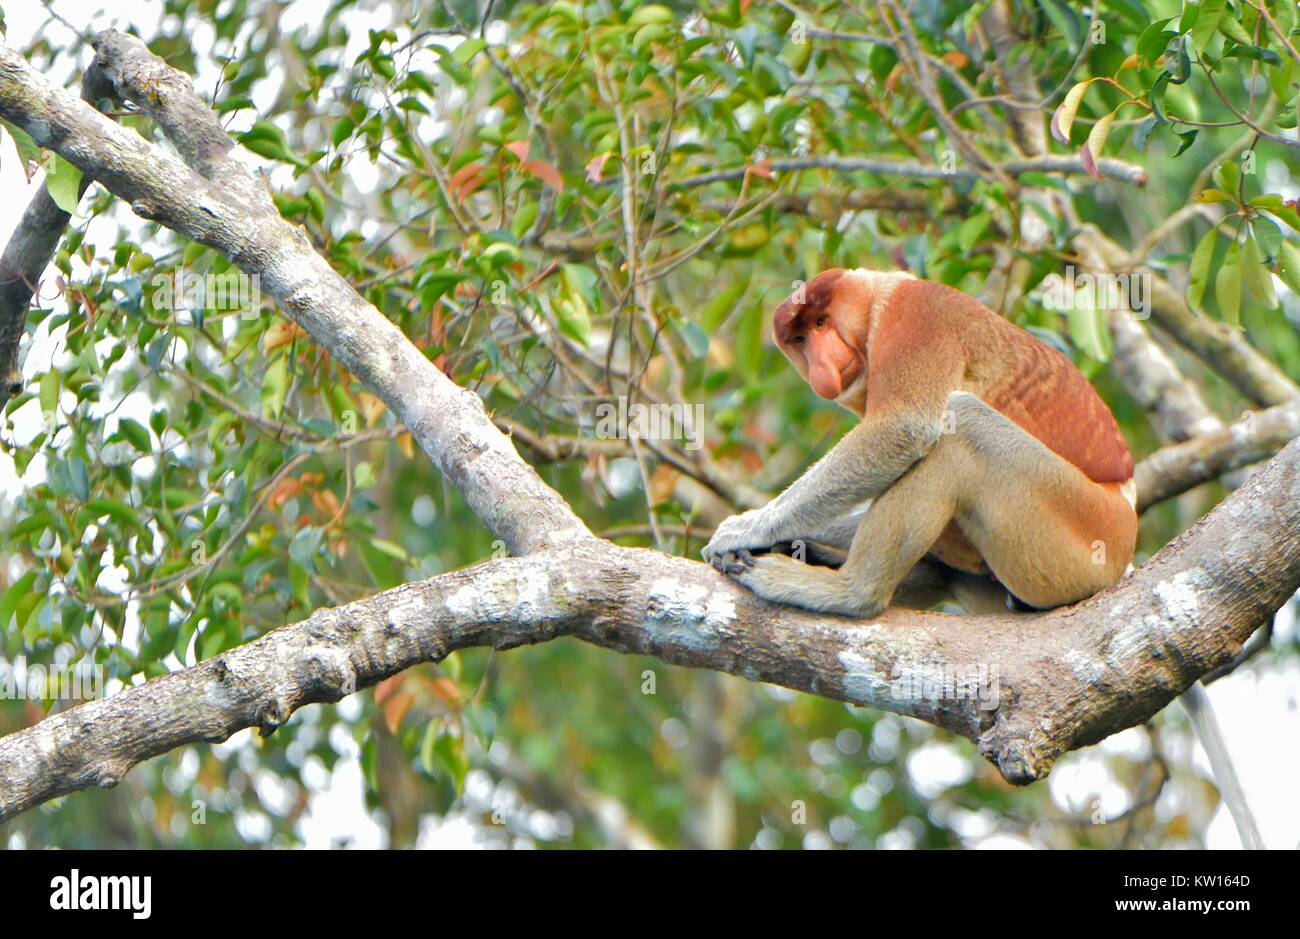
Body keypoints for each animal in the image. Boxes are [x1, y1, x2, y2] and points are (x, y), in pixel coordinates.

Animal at [702, 265, 1138, 613]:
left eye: (821, 322)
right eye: (799, 339)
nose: (821, 365)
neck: (876, 305)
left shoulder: (917, 315)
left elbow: (903, 426)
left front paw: (746, 529)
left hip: (1084, 528)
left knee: (960, 430)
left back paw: (848, 592)